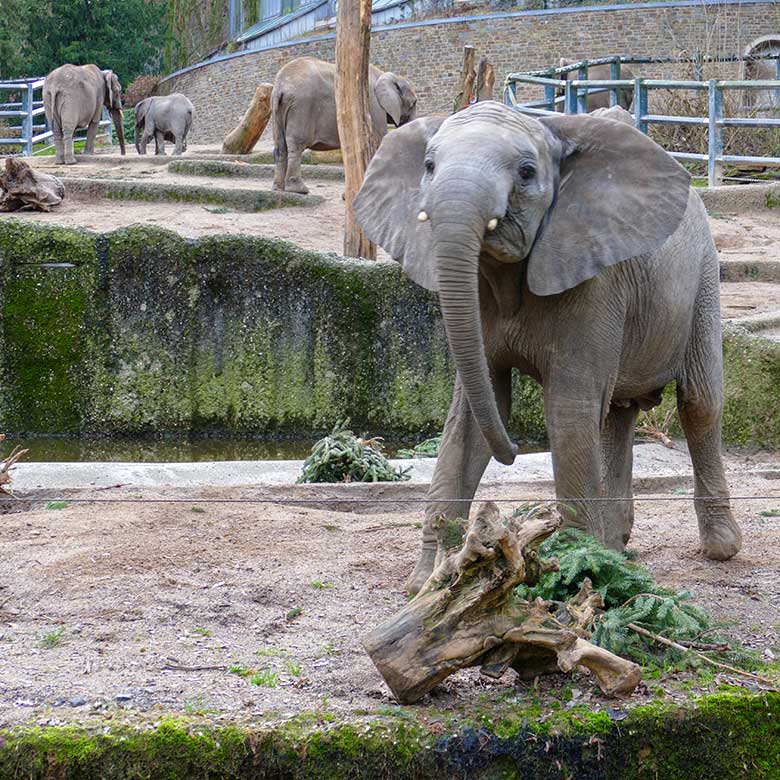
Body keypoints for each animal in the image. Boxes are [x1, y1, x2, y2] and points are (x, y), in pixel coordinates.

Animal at [272, 55, 418, 193]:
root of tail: (280, 86)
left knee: (280, 146)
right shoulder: (374, 107)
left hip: (278, 109)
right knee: (296, 144)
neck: (383, 74)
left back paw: (278, 188)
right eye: (414, 103)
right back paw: (299, 190)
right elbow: (378, 141)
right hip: (301, 107)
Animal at [354, 100, 744, 596]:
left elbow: (568, 411)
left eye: (525, 172)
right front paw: (429, 584)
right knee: (616, 413)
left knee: (698, 403)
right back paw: (615, 549)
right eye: (428, 166)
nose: (514, 449)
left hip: (705, 276)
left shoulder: (594, 277)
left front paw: (574, 580)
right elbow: (472, 415)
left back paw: (718, 548)